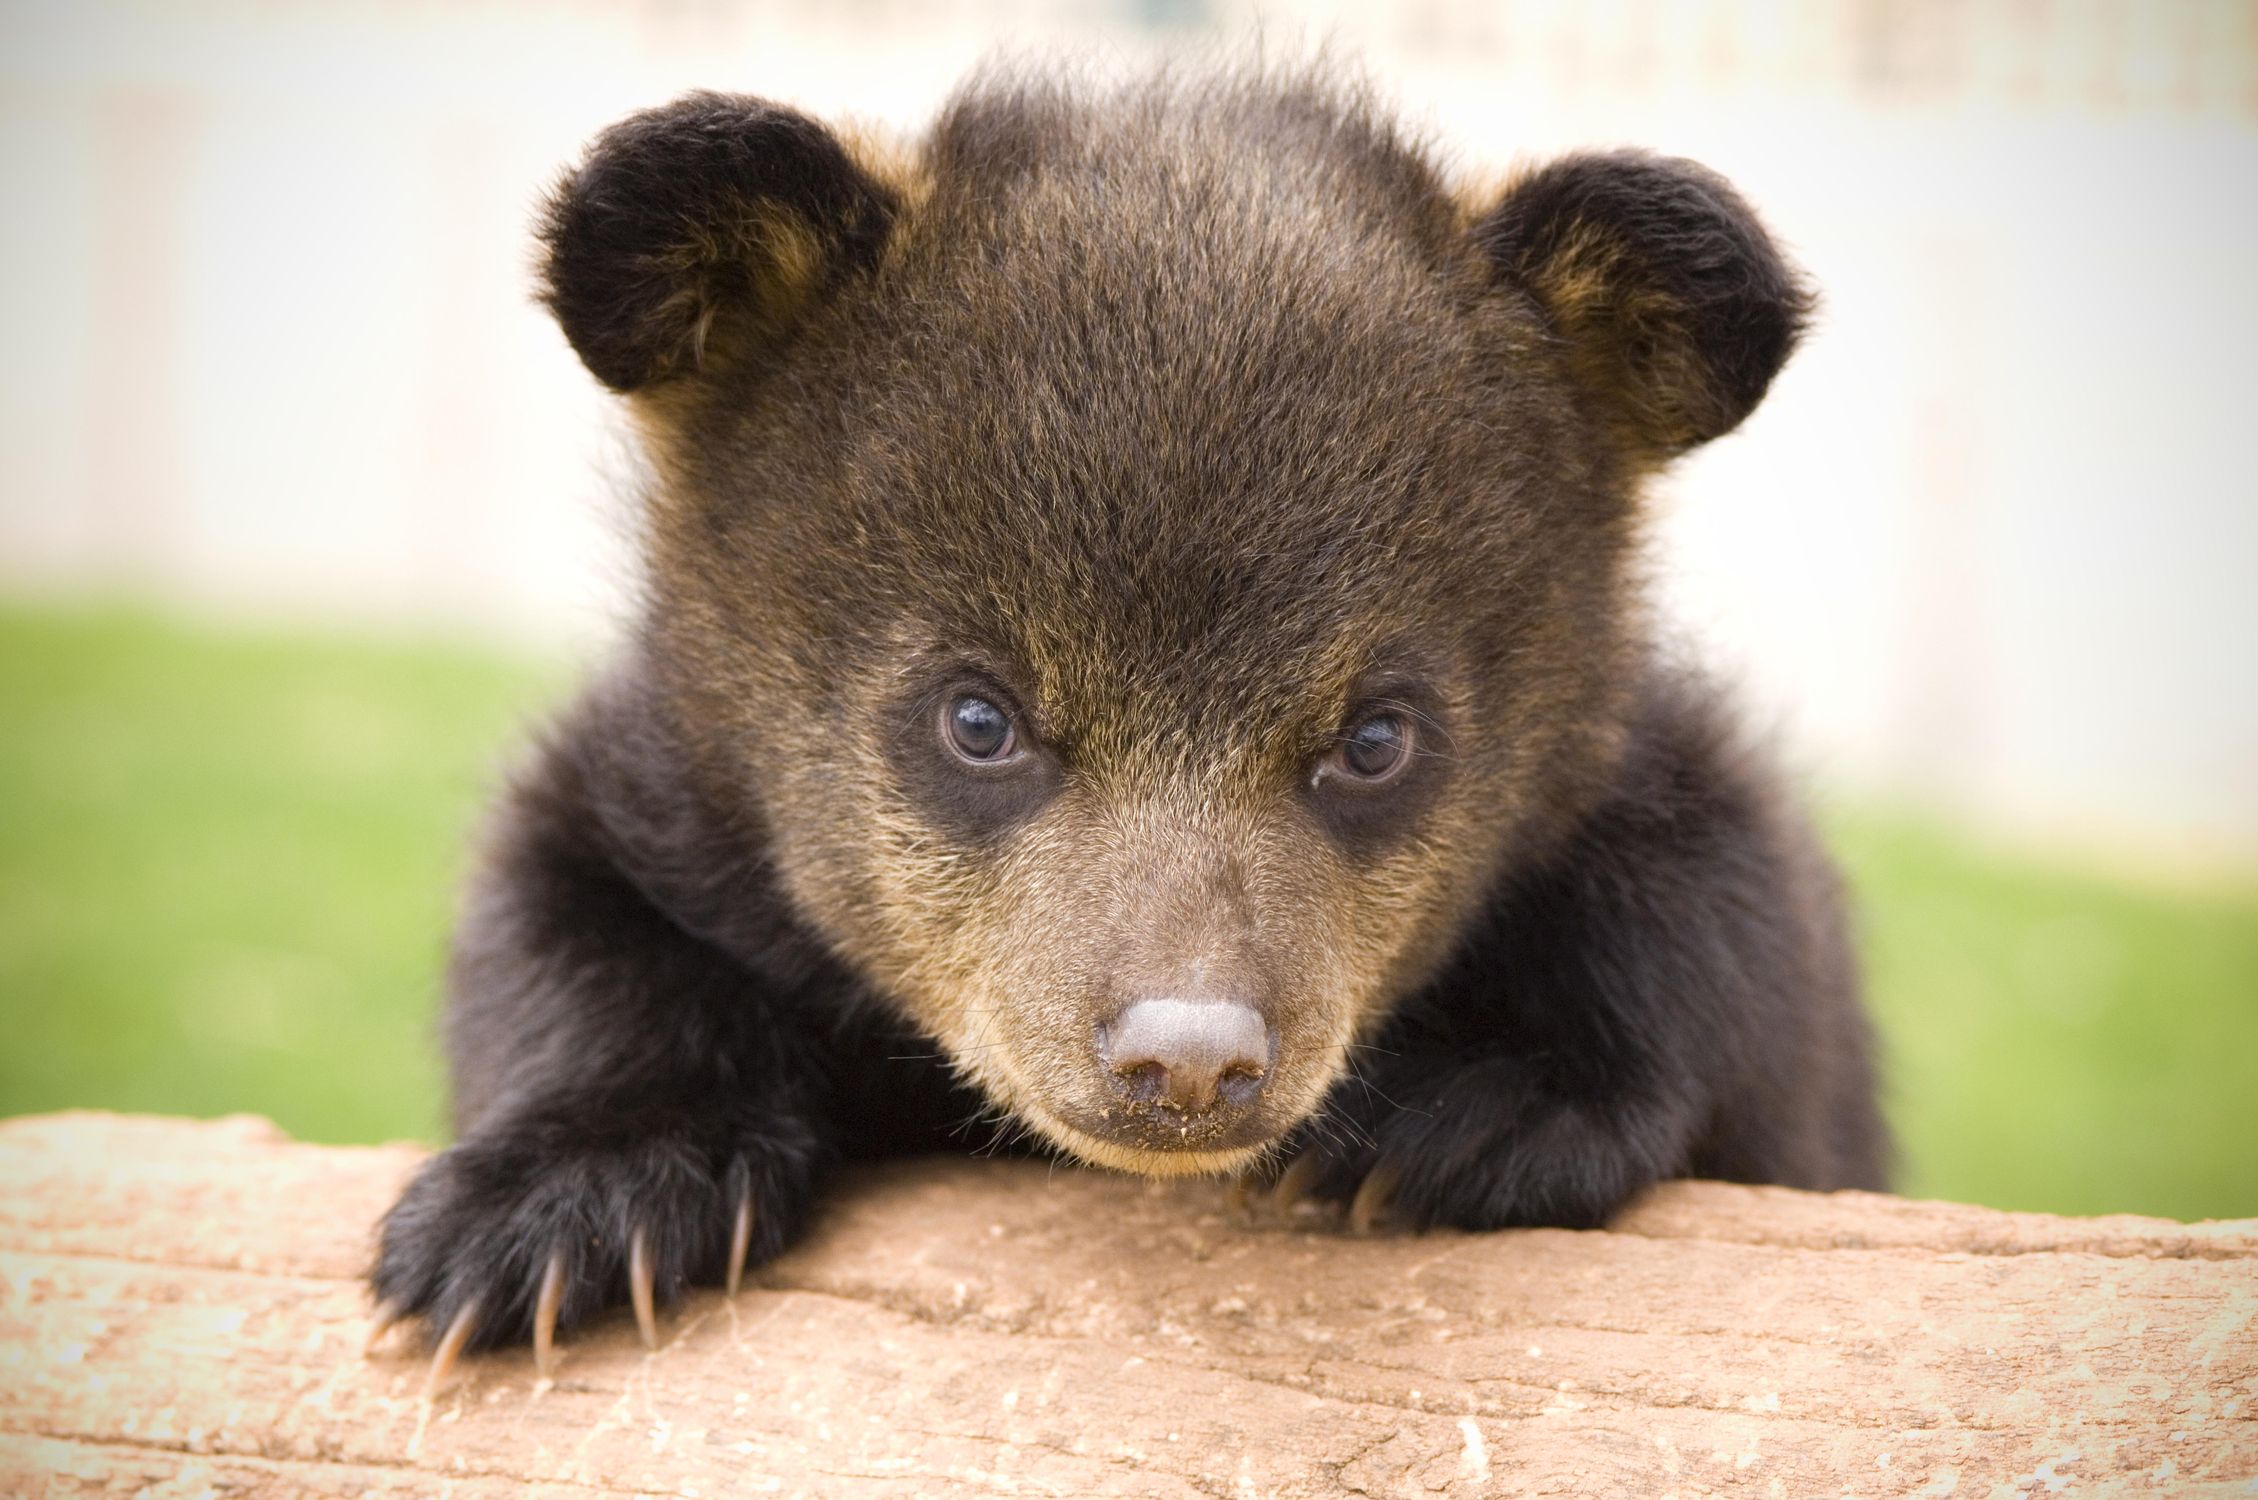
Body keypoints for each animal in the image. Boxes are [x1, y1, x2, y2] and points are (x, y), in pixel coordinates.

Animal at [370, 64, 1888, 1382]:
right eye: (977, 716)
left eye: (1375, 737)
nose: (1189, 1058)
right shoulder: (672, 780)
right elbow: (560, 911)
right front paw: (554, 1213)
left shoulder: (1640, 785)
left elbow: (1727, 930)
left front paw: (1467, 1113)